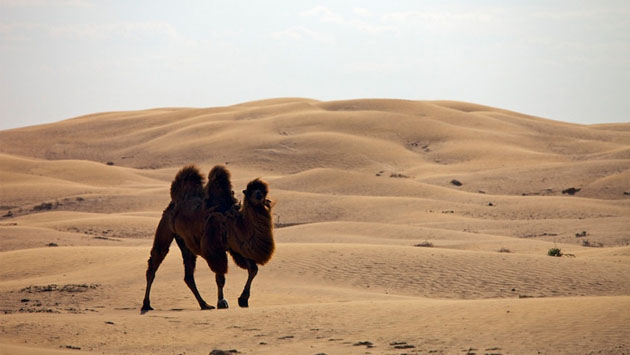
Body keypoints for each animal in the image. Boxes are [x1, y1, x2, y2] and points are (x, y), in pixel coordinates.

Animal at [142, 165, 276, 312]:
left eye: (263, 191)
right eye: (252, 191)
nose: (259, 195)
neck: (232, 223)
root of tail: (172, 204)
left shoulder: (237, 246)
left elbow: (253, 270)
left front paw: (243, 300)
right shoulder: (215, 248)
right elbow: (220, 277)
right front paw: (222, 301)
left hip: (184, 242)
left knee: (188, 276)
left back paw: (204, 304)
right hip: (165, 226)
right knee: (155, 260)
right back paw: (146, 304)